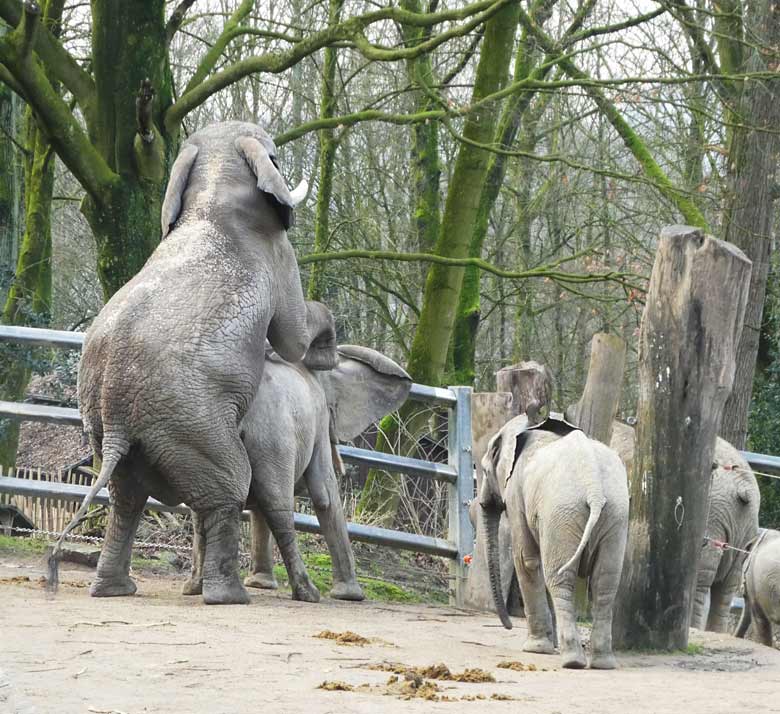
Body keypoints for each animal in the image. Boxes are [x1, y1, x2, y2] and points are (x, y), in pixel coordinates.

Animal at [184, 344, 414, 600]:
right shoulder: (319, 416)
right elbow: (324, 496)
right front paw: (350, 596)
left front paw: (260, 584)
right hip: (272, 435)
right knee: (277, 506)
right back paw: (308, 592)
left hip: (205, 434)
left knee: (205, 507)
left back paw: (194, 588)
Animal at [608, 420, 756, 632]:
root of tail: (744, 488)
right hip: (744, 530)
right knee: (727, 587)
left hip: (713, 516)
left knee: (702, 578)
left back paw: (693, 628)